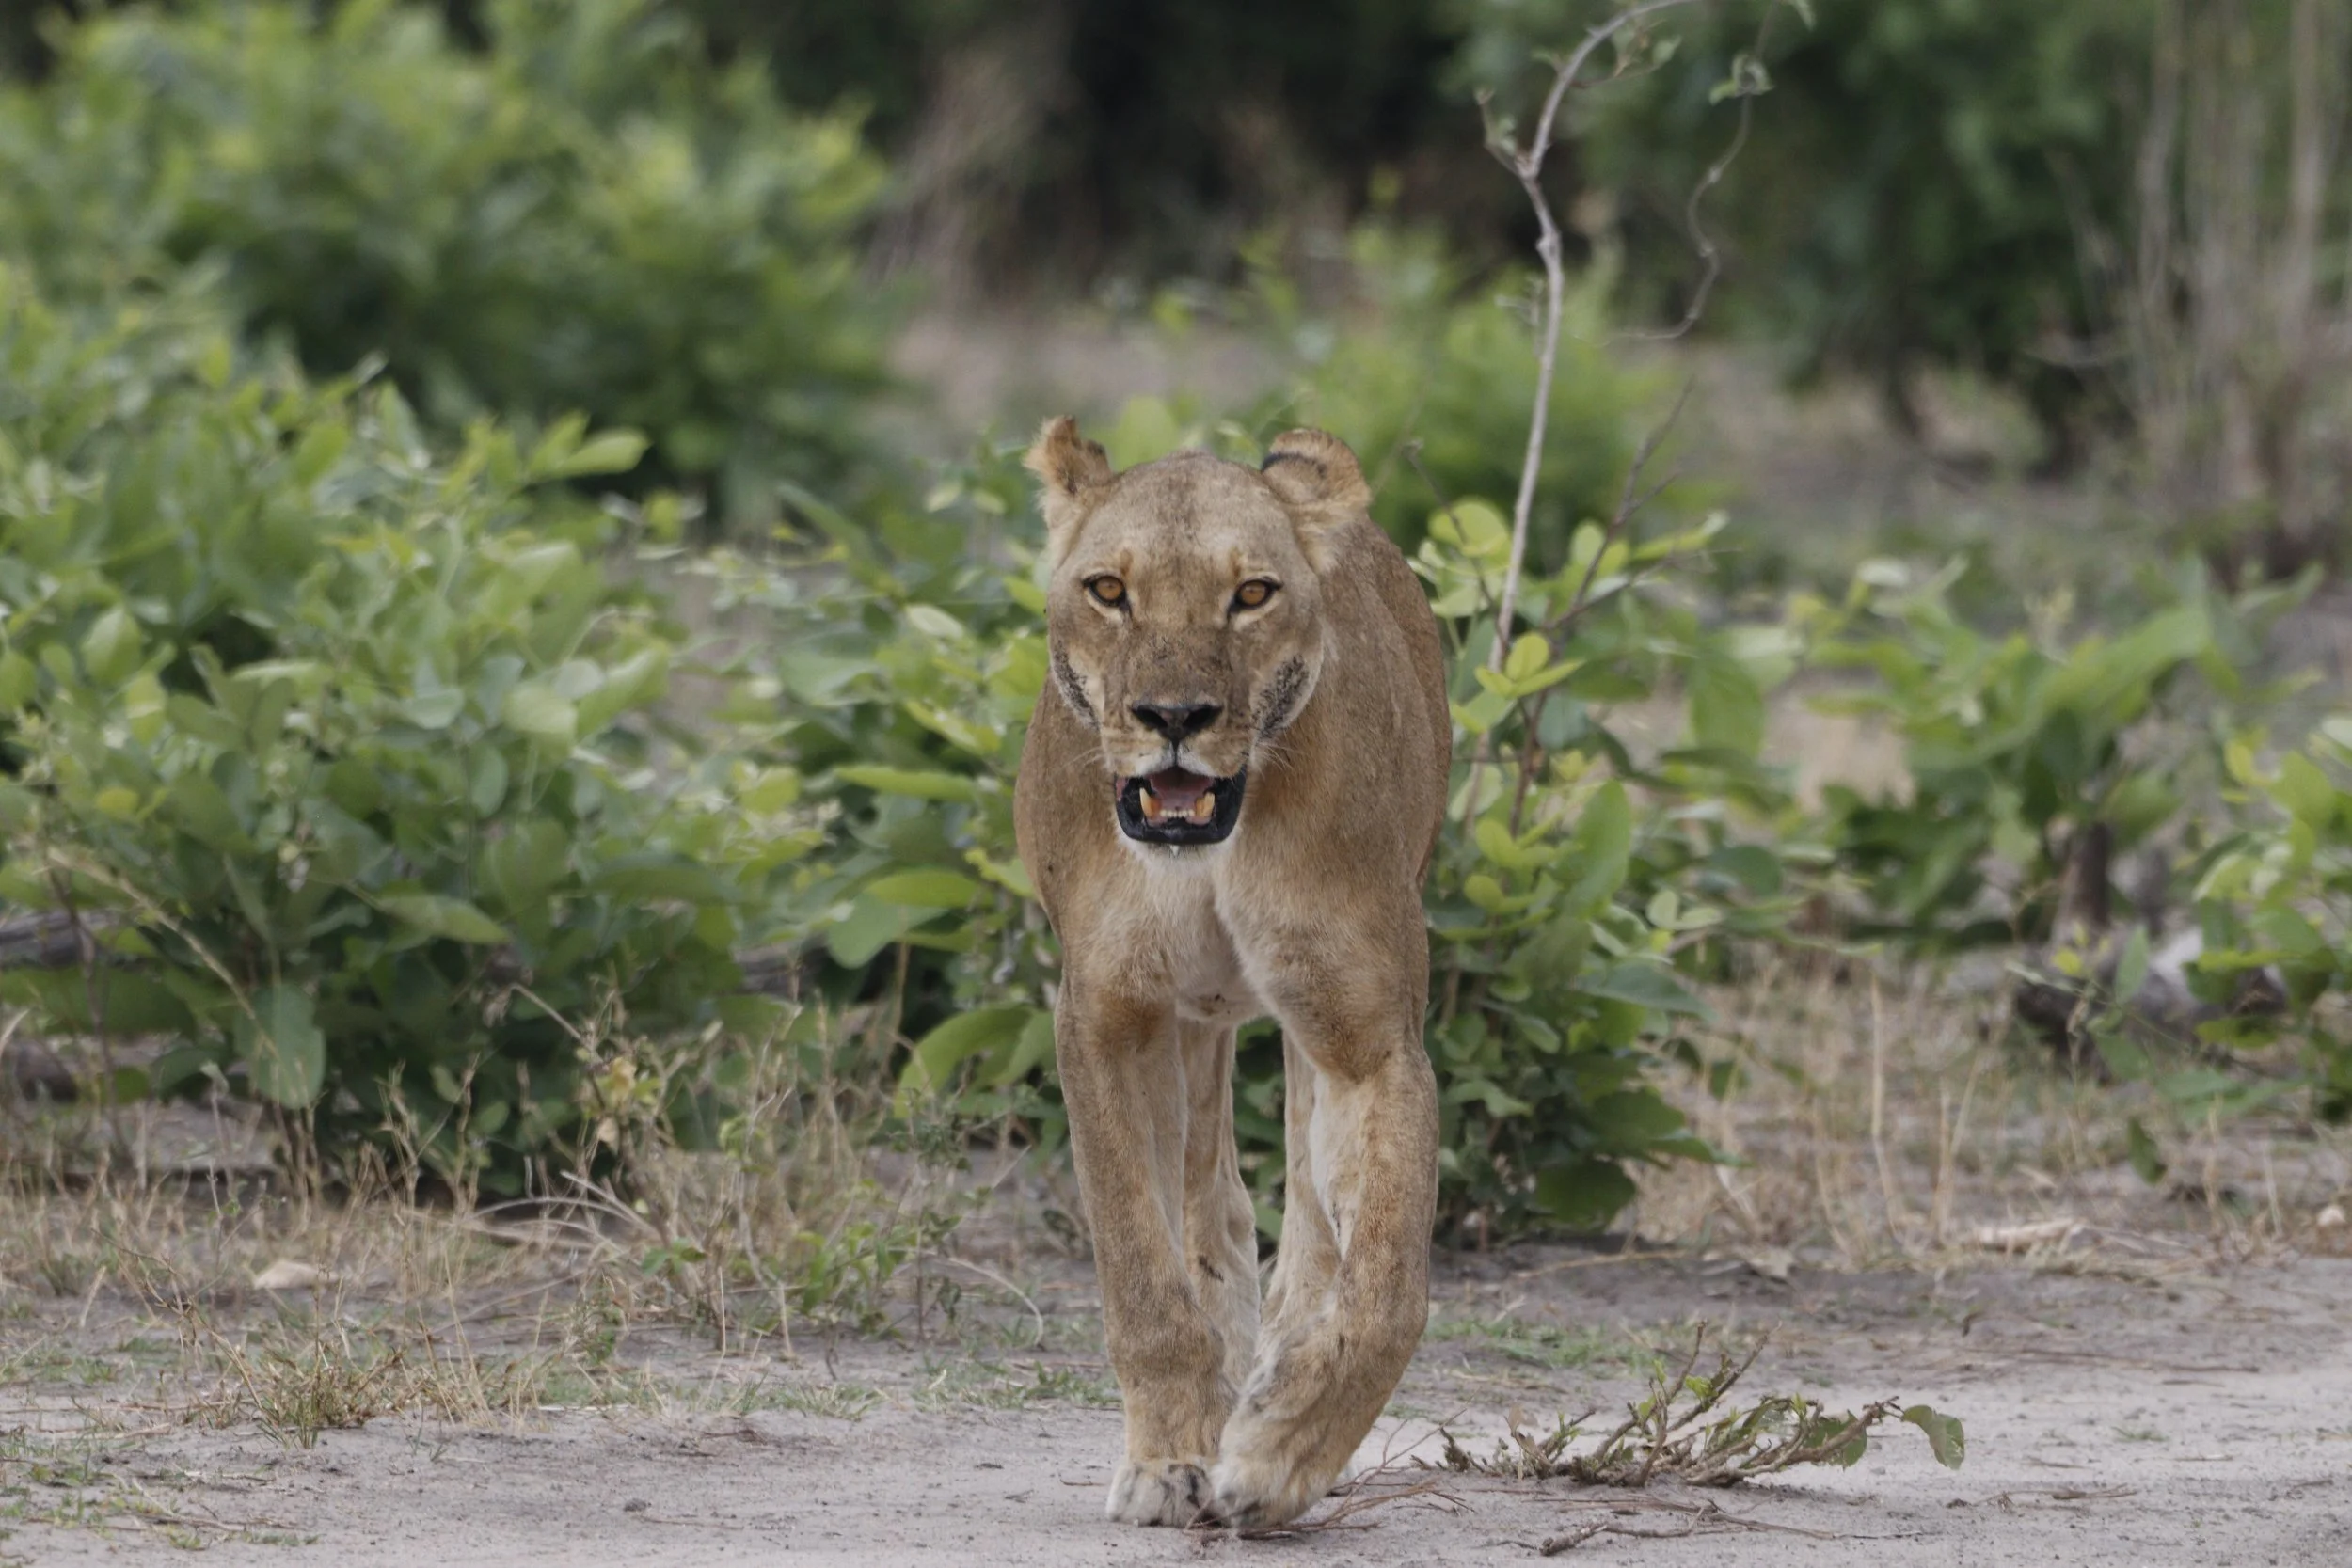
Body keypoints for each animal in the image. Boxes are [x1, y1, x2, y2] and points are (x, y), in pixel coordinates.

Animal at [1012, 417, 1449, 1528]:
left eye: (1251, 592)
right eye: (1108, 589)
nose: (1174, 714)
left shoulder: (1371, 1036)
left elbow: (1384, 1289)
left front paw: (1278, 1453)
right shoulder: (1107, 1019)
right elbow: (1145, 1275)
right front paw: (1173, 1457)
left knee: (1307, 1207)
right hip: (1191, 1017)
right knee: (1208, 1193)